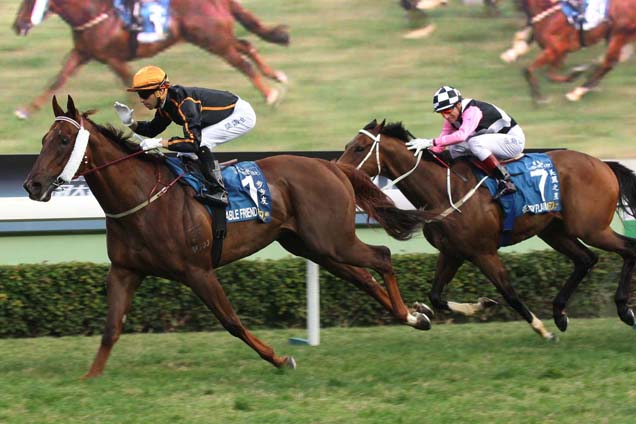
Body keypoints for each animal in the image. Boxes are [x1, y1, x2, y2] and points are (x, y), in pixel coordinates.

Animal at [13, 0, 290, 117]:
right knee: (247, 46)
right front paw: (25, 110)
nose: (17, 26)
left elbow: (128, 80)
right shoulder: (83, 53)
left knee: (242, 61)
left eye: (28, 3)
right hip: (215, 38)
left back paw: (270, 94)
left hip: (214, 39)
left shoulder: (112, 58)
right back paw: (276, 76)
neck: (93, 13)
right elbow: (58, 80)